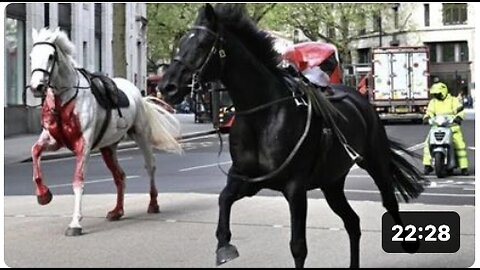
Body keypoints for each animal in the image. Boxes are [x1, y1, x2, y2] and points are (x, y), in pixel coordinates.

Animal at [28, 26, 182, 234]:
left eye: (51, 56)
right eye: (31, 56)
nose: (36, 87)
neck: (65, 99)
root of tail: (139, 94)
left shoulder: (83, 145)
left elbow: (78, 181)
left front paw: (75, 223)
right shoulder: (53, 140)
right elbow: (35, 152)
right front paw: (43, 195)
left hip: (141, 135)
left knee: (150, 166)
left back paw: (153, 204)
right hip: (108, 147)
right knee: (120, 176)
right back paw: (117, 211)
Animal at [159, 4, 426, 268]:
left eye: (202, 44)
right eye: (181, 43)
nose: (166, 86)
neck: (263, 115)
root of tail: (359, 97)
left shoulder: (295, 188)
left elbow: (298, 246)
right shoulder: (246, 180)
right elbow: (224, 200)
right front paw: (224, 246)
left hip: (375, 161)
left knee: (388, 201)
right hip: (331, 182)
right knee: (352, 221)